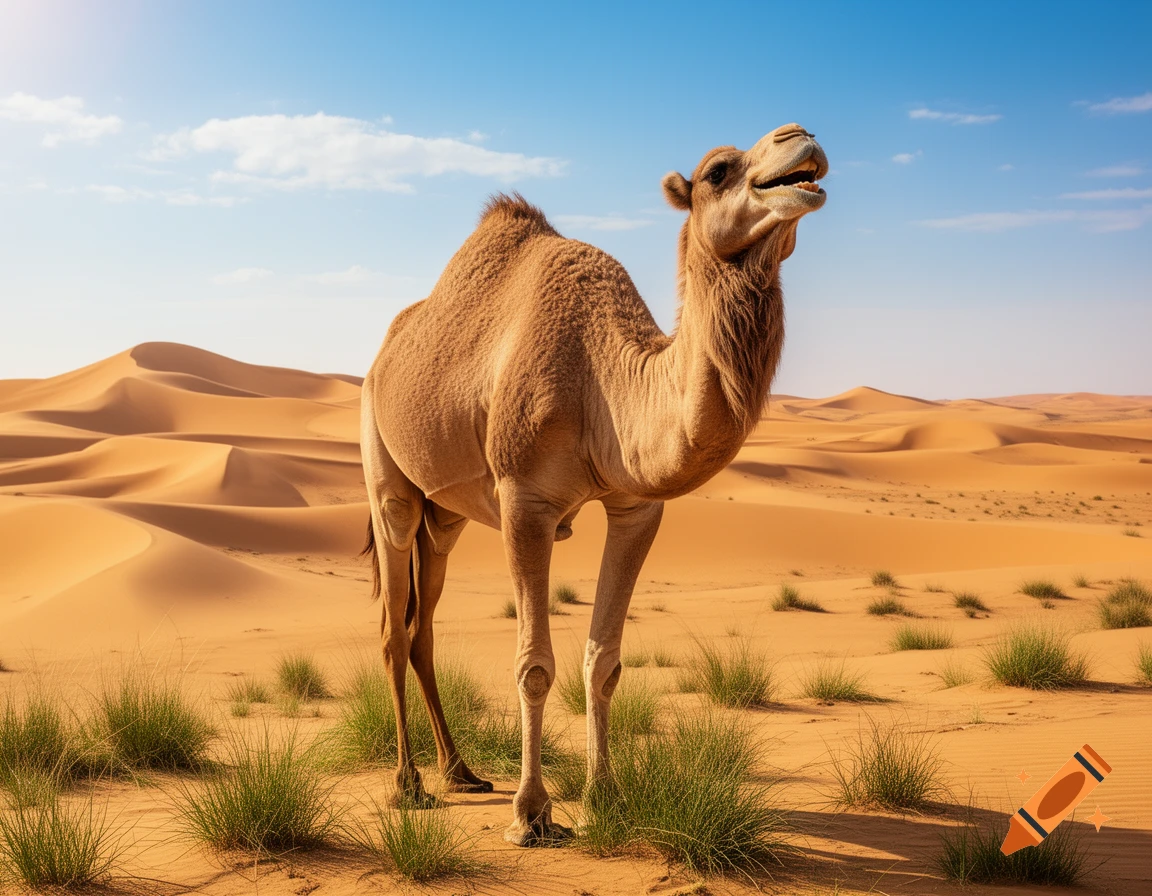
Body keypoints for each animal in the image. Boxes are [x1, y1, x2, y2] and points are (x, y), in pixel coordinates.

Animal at [360, 122, 828, 845]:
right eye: (718, 171)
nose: (799, 138)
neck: (601, 380)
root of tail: (384, 352)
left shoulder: (638, 506)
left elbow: (603, 661)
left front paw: (604, 798)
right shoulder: (525, 501)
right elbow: (533, 664)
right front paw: (532, 813)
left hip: (449, 515)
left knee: (422, 625)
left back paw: (460, 771)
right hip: (388, 476)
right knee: (391, 621)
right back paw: (409, 784)